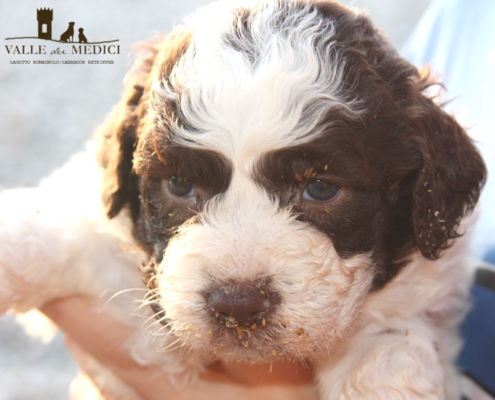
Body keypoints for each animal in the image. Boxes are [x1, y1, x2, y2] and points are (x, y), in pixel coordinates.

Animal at [0, 0, 488, 398]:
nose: (238, 304)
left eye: (321, 188)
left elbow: (394, 335)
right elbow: (70, 226)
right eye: (179, 185)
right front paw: (15, 249)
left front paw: (383, 370)